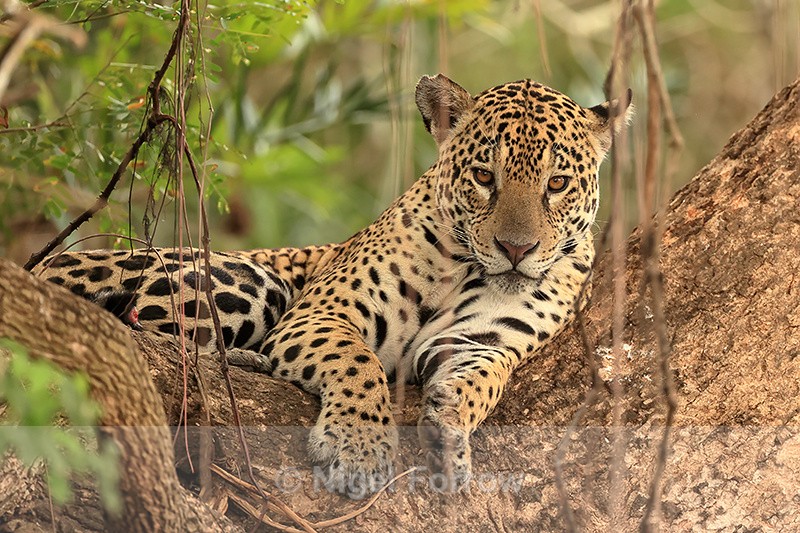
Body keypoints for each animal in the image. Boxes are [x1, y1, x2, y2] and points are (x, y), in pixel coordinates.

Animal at [35, 74, 632, 498]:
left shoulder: (481, 340)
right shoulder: (325, 312)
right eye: (485, 177)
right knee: (152, 334)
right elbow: (355, 361)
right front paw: (359, 449)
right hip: (249, 279)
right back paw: (246, 361)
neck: (465, 267)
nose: (516, 249)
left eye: (557, 183)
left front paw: (450, 430)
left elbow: (488, 378)